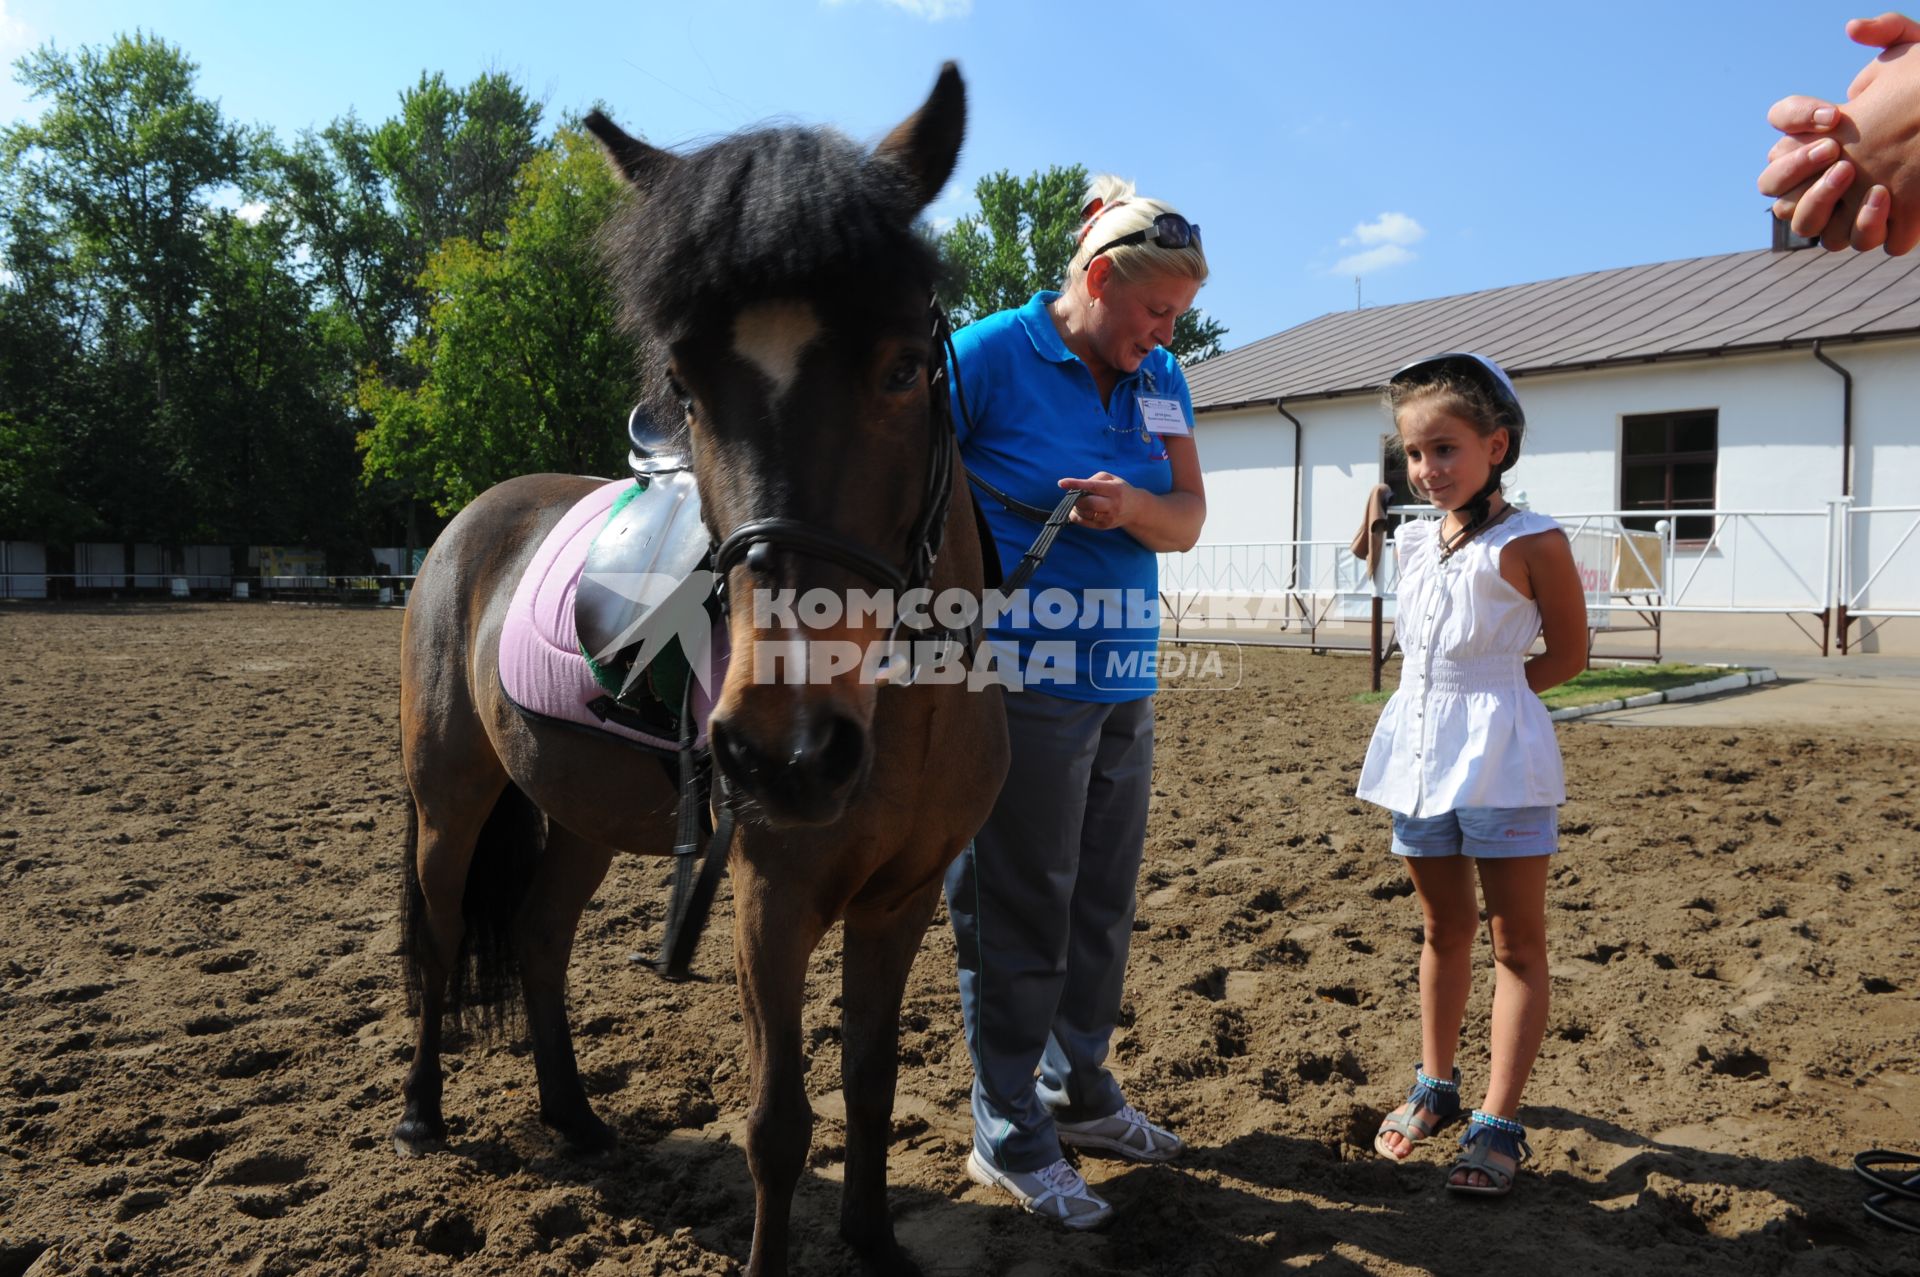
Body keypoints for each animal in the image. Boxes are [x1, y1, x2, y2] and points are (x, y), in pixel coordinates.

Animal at [395, 69, 1013, 1275]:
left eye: (903, 366)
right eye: (684, 384)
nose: (785, 751)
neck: (903, 712)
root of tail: (472, 521)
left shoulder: (901, 897)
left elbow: (871, 1085)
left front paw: (874, 1243)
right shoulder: (769, 898)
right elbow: (779, 1122)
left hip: (578, 812)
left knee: (538, 936)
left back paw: (575, 1116)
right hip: (450, 795)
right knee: (440, 940)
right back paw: (422, 1114)